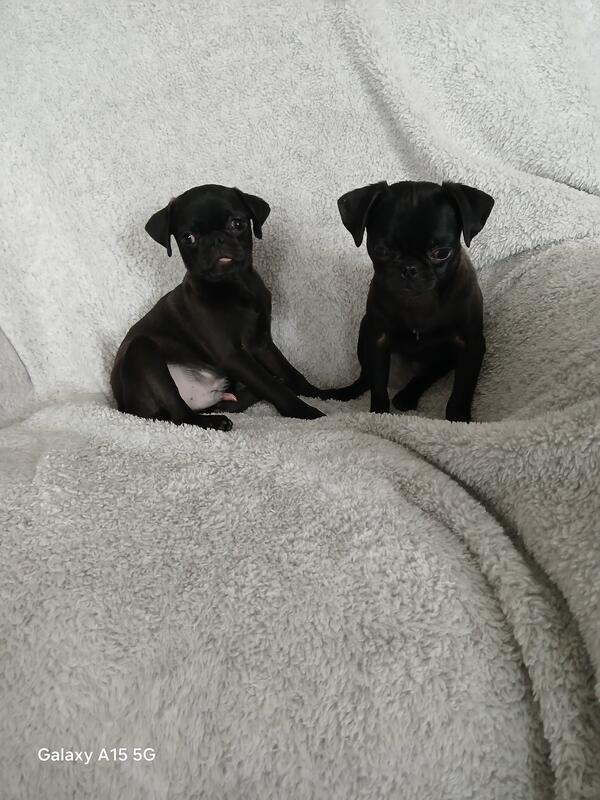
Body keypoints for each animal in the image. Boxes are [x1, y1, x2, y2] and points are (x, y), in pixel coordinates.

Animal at [111, 184, 326, 431]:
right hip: (142, 351)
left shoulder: (261, 343)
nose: (216, 240)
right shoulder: (231, 355)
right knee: (181, 414)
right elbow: (271, 385)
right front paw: (306, 411)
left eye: (237, 224)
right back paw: (213, 421)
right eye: (189, 238)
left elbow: (289, 372)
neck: (233, 285)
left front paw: (323, 394)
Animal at [326, 181, 494, 423]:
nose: (408, 268)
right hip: (364, 329)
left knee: (430, 373)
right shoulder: (377, 339)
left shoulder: (470, 344)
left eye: (441, 253)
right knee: (366, 377)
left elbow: (462, 390)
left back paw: (407, 397)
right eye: (381, 250)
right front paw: (378, 415)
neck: (419, 302)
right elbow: (378, 385)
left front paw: (459, 420)